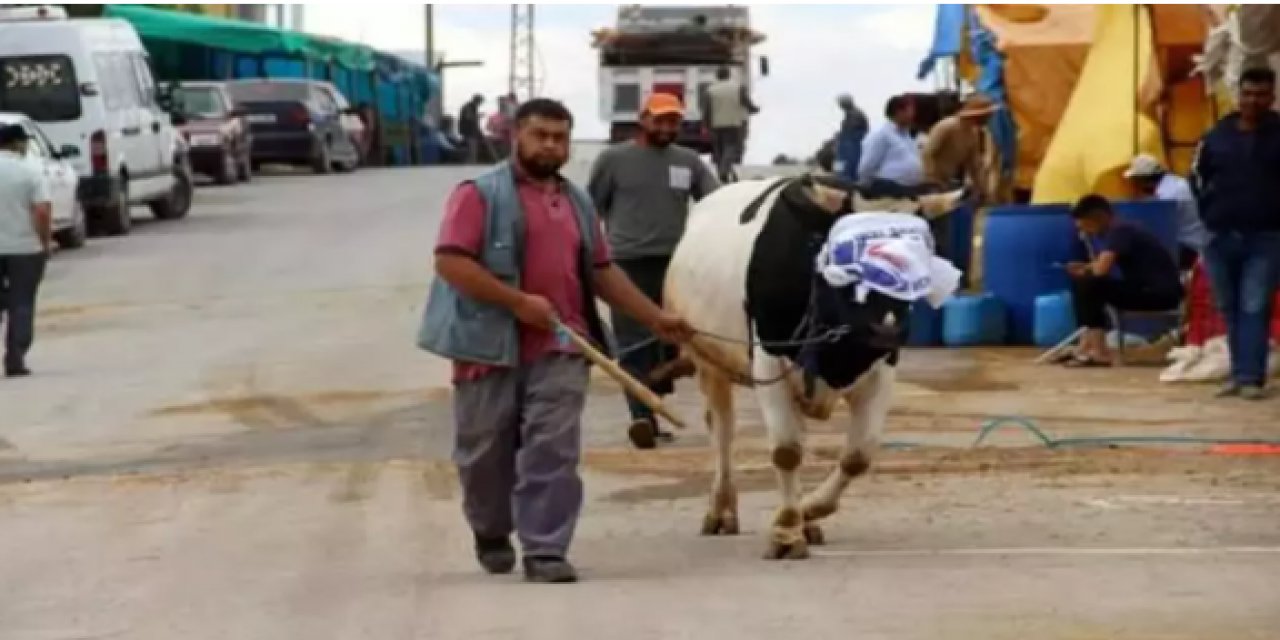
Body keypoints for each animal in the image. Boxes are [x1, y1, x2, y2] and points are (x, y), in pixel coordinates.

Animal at [665, 174, 962, 560]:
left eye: (921, 255)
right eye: (846, 255)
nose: (887, 330)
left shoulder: (882, 369)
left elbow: (858, 456)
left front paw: (806, 512)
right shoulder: (768, 362)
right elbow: (787, 451)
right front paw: (787, 532)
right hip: (708, 363)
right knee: (723, 433)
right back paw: (721, 510)